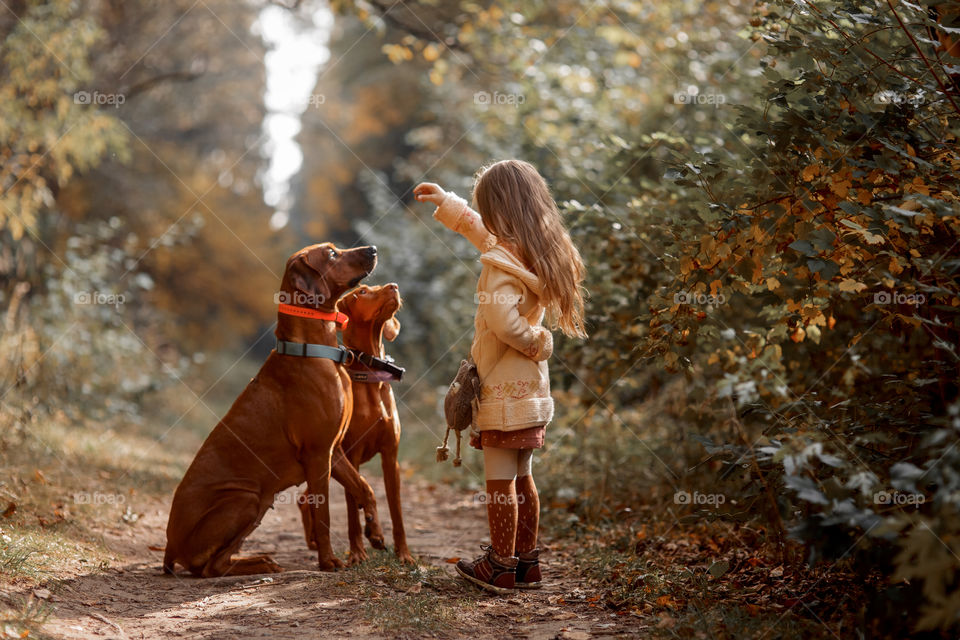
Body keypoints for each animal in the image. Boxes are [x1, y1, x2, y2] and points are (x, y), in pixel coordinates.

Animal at [165, 241, 386, 576]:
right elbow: (323, 514)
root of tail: (169, 546)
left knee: (219, 562)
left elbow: (365, 488)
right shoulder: (318, 453)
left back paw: (259, 561)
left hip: (260, 503)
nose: (373, 248)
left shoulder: (333, 450)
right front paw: (328, 561)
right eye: (331, 254)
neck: (313, 351)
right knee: (208, 568)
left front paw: (375, 530)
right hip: (245, 498)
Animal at [300, 282, 412, 564]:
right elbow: (353, 509)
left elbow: (397, 512)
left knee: (305, 498)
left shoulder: (390, 458)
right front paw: (358, 553)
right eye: (361, 292)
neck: (371, 375)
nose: (395, 286)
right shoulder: (353, 454)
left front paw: (404, 554)